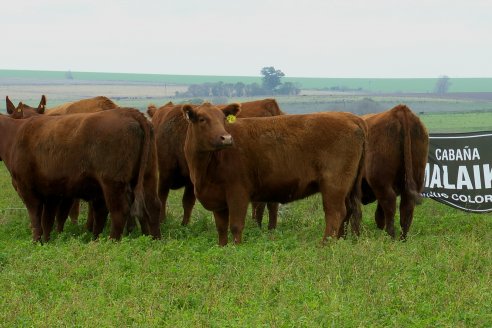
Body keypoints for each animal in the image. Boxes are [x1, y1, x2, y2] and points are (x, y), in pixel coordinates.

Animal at [0, 107, 160, 241]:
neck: (14, 135)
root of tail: (129, 112)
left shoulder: (26, 188)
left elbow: (36, 217)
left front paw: (36, 242)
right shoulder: (52, 192)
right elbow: (48, 220)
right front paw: (47, 241)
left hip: (113, 182)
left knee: (120, 211)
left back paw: (111, 241)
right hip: (148, 175)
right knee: (152, 205)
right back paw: (153, 239)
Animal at [152, 98, 284, 228]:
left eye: (223, 119)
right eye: (202, 119)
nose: (227, 138)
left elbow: (185, 201)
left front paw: (180, 224)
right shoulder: (168, 173)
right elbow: (164, 197)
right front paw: (166, 222)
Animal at [181, 104, 366, 245]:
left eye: (223, 119)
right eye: (202, 119)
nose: (226, 138)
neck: (205, 169)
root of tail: (350, 117)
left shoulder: (238, 193)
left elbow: (236, 225)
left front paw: (236, 248)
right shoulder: (218, 201)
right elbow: (221, 228)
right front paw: (223, 248)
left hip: (334, 184)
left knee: (335, 212)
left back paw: (325, 244)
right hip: (347, 187)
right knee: (348, 211)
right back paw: (341, 240)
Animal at [360, 104, 428, 240]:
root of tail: (399, 110)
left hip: (381, 182)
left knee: (389, 205)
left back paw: (390, 236)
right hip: (416, 178)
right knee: (406, 207)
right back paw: (402, 238)